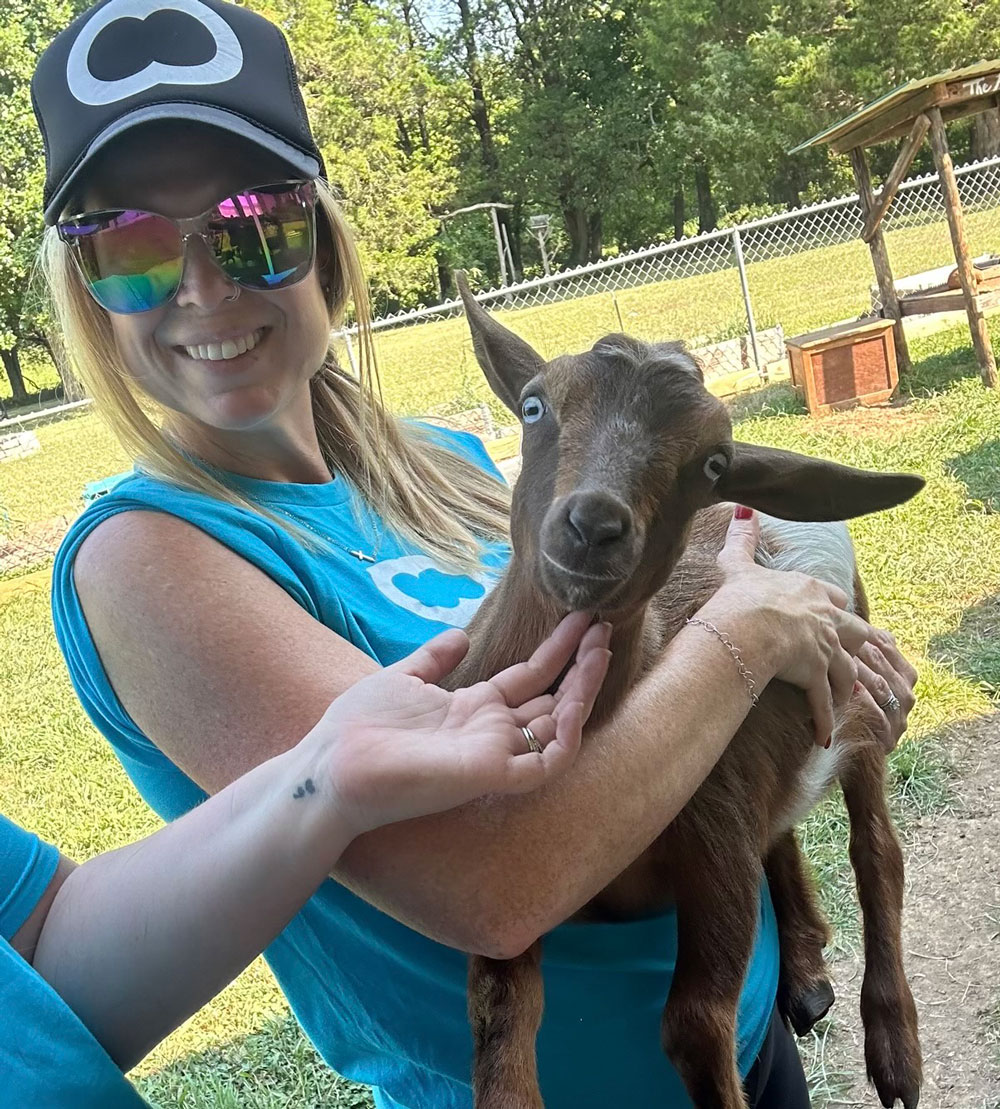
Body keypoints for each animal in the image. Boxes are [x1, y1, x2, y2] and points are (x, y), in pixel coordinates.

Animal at [446, 274, 924, 1109]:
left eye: (711, 461)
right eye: (533, 406)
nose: (594, 524)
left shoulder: (715, 841)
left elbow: (695, 1022)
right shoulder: (507, 896)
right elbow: (499, 1015)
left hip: (857, 679)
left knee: (876, 847)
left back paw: (894, 1050)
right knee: (784, 823)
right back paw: (805, 976)